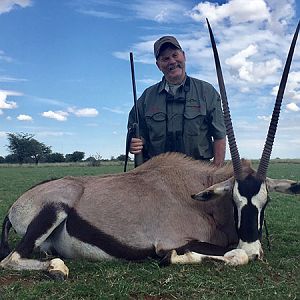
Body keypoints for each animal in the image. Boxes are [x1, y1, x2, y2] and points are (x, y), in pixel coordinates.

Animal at [0, 21, 298, 278]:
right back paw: (57, 268)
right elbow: (229, 255)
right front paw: (177, 258)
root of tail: (18, 203)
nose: (254, 250)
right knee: (11, 259)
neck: (201, 197)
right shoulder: (172, 241)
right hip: (53, 209)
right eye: (235, 201)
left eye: (266, 202)